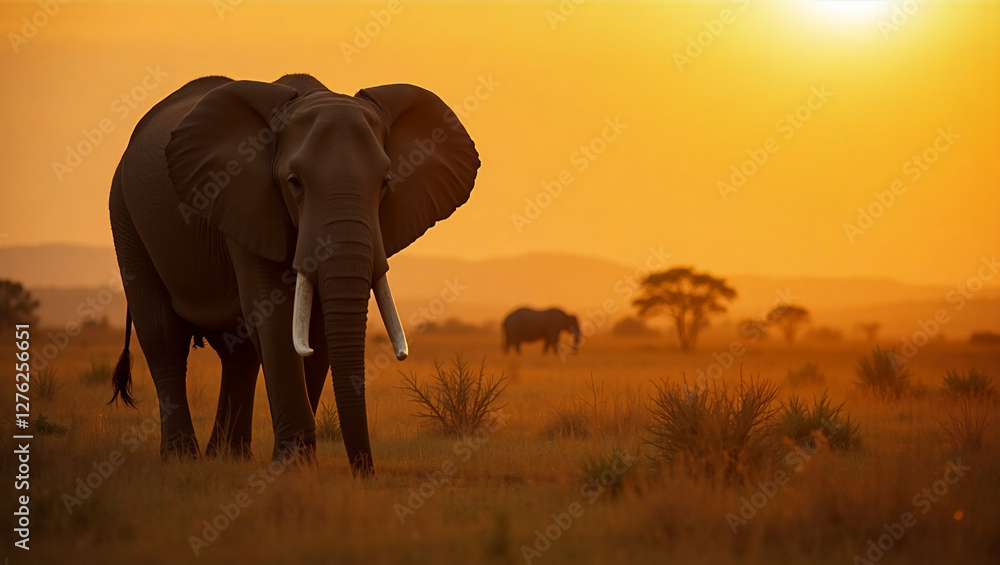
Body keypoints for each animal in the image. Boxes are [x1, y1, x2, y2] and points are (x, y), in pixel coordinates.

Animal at [107, 73, 479, 476]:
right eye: (294, 181)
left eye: (385, 182)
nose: (364, 472)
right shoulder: (243, 198)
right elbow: (275, 319)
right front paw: (293, 465)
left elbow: (317, 329)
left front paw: (301, 463)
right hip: (124, 214)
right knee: (162, 334)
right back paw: (181, 458)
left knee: (238, 352)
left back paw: (228, 457)